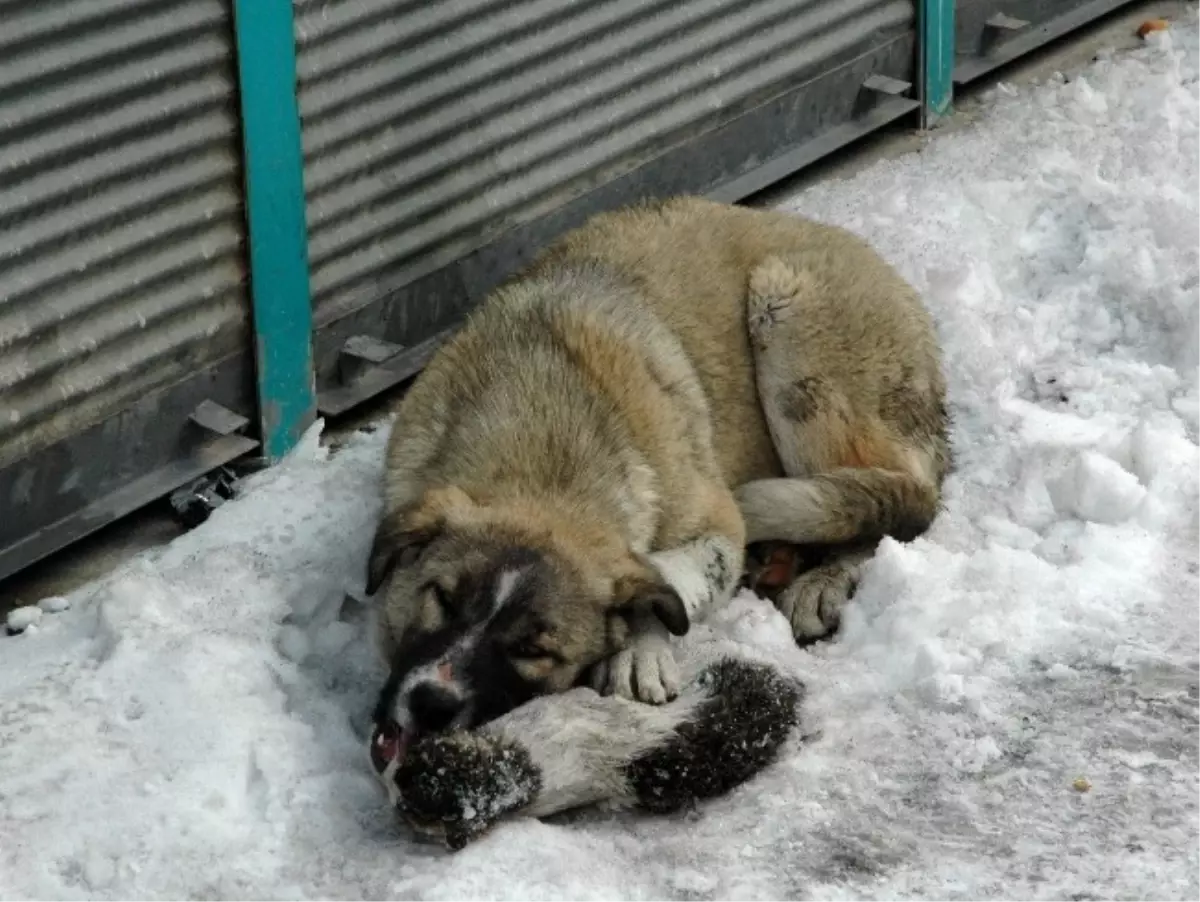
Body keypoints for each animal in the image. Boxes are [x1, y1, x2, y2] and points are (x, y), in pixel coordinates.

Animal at [362, 196, 945, 767]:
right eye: (442, 598)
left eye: (534, 649)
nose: (431, 703)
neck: (540, 453)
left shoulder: (718, 525)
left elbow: (667, 578)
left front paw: (637, 646)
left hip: (787, 325)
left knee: (905, 498)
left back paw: (823, 579)